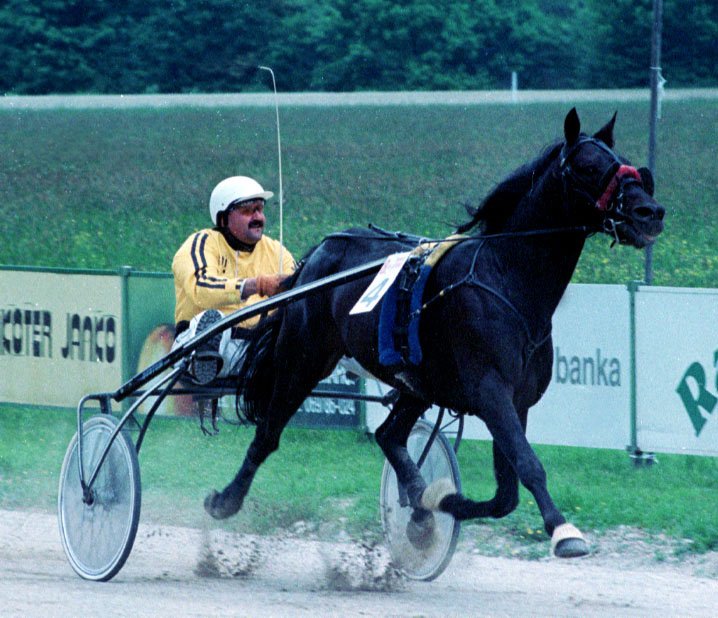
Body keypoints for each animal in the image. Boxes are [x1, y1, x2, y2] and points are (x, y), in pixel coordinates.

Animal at [205, 108, 668, 556]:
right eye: (589, 167)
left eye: (625, 162)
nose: (650, 212)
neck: (505, 278)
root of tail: (320, 252)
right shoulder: (490, 389)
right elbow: (528, 464)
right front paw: (563, 530)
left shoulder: (516, 400)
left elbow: (505, 494)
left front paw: (438, 502)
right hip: (304, 358)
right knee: (268, 434)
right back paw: (225, 500)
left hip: (417, 383)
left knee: (388, 435)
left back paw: (418, 500)